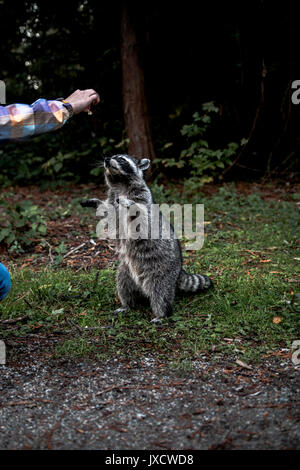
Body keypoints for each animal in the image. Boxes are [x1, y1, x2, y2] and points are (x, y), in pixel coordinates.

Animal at [81, 154, 213, 324]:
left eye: (121, 159)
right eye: (111, 156)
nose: (106, 159)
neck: (120, 182)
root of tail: (179, 271)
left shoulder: (143, 199)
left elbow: (142, 216)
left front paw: (129, 203)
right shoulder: (113, 202)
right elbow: (108, 213)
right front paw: (95, 202)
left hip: (162, 273)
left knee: (160, 294)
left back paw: (162, 314)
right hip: (126, 271)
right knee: (123, 285)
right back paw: (127, 304)